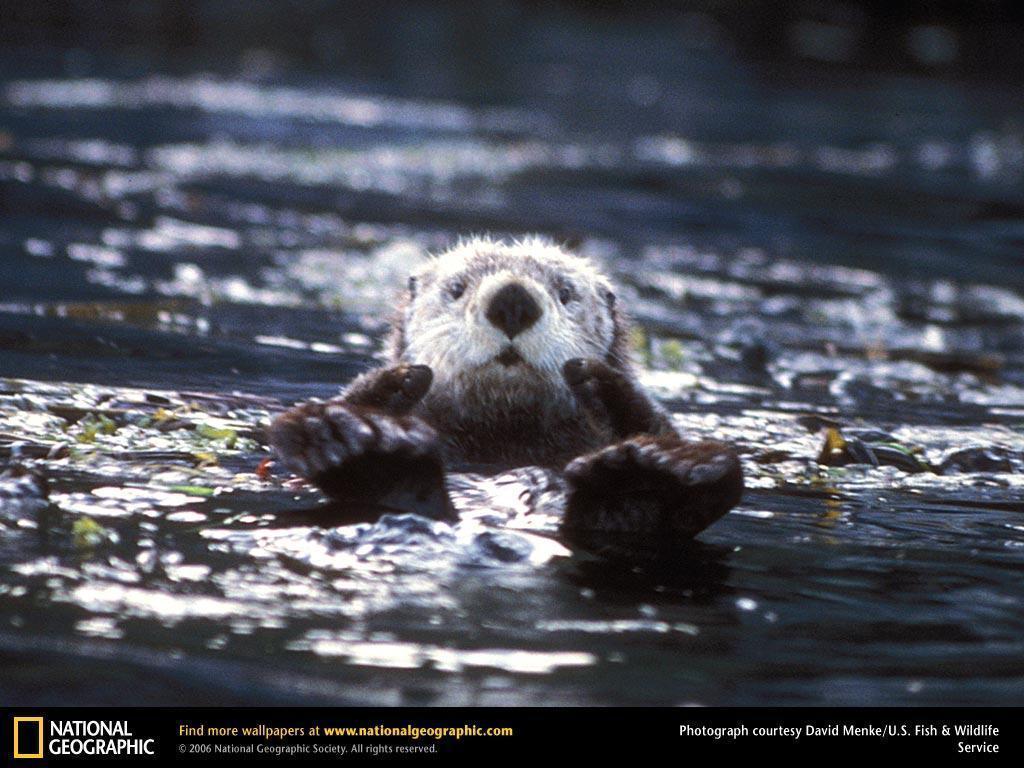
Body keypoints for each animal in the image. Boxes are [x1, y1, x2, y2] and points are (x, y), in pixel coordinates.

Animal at [268, 237, 741, 548]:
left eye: (565, 293)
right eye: (457, 289)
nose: (513, 300)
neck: (505, 434)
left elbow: (653, 419)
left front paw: (602, 382)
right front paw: (398, 381)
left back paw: (648, 474)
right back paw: (354, 441)